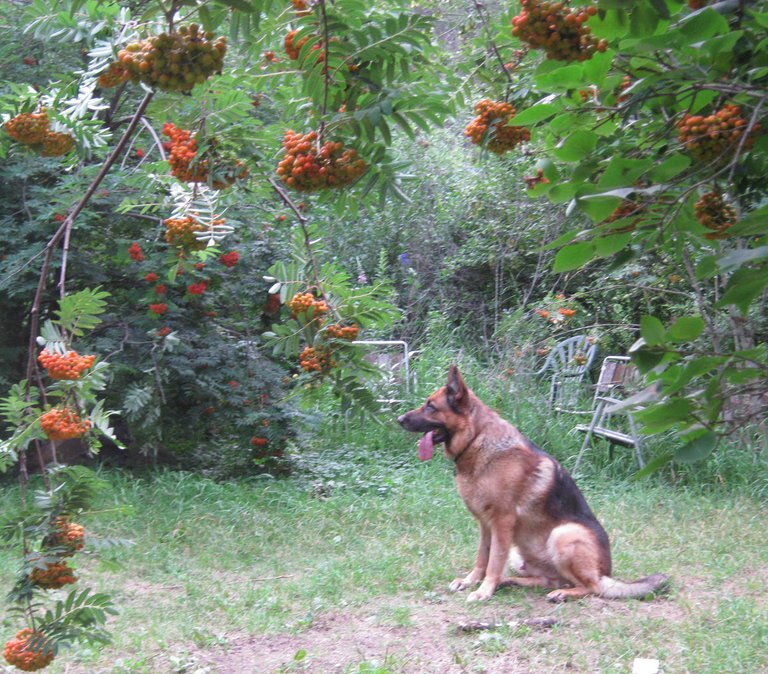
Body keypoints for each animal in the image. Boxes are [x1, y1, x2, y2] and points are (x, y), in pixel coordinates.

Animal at [396, 364, 664, 600]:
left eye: (430, 406)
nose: (398, 419)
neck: (477, 440)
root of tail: (607, 573)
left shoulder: (502, 522)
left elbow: (493, 562)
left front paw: (484, 590)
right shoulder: (485, 525)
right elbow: (483, 557)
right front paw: (472, 581)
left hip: (564, 534)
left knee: (590, 586)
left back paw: (561, 593)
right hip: (520, 553)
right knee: (548, 580)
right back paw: (512, 581)